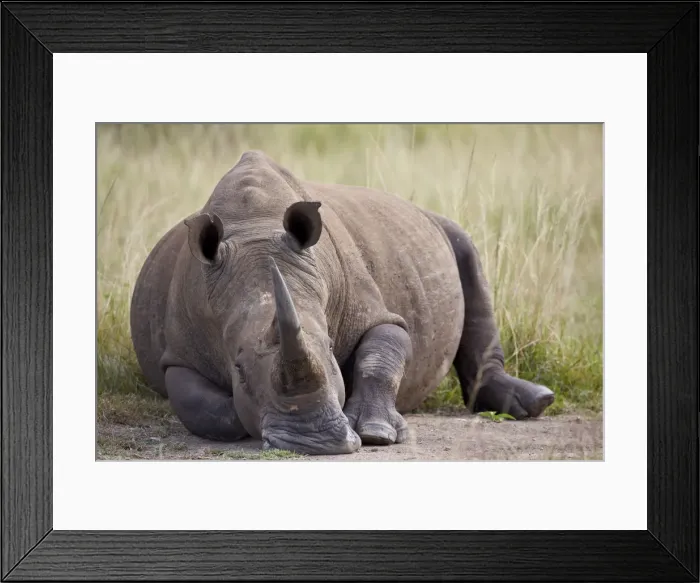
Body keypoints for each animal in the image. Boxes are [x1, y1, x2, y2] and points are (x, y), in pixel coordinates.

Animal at [130, 150, 554, 455]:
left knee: (466, 250)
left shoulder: (375, 311)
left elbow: (381, 355)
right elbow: (202, 406)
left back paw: (534, 403)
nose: (313, 441)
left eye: (331, 348)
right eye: (239, 368)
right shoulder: (180, 352)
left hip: (438, 228)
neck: (255, 230)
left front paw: (378, 433)